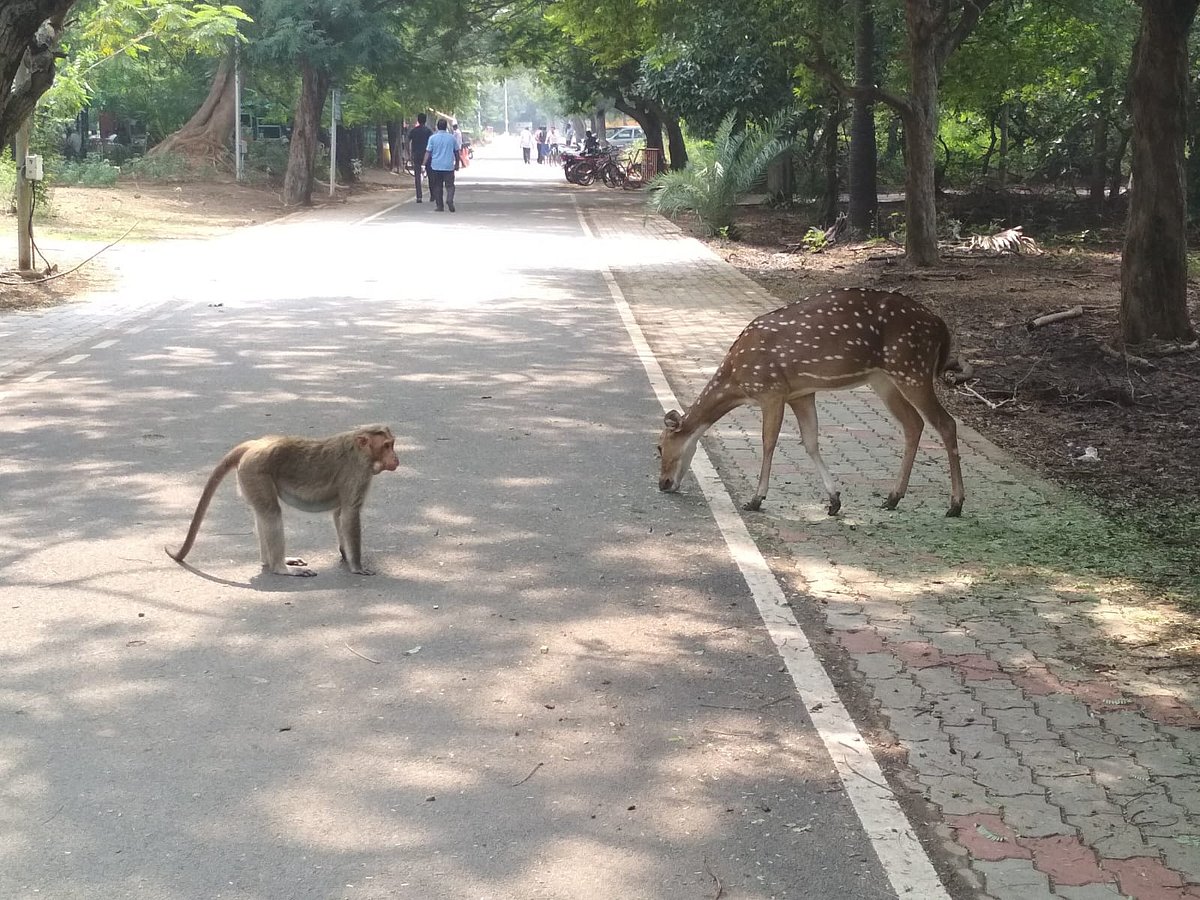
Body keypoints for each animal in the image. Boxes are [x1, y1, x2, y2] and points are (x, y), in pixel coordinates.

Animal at [166, 425, 399, 577]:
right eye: (387, 445)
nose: (396, 459)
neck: (361, 449)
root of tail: (253, 445)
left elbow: (339, 513)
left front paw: (345, 554)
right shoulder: (359, 472)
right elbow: (350, 513)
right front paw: (357, 566)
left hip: (250, 478)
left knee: (263, 513)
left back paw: (271, 561)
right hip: (256, 473)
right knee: (271, 513)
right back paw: (282, 568)